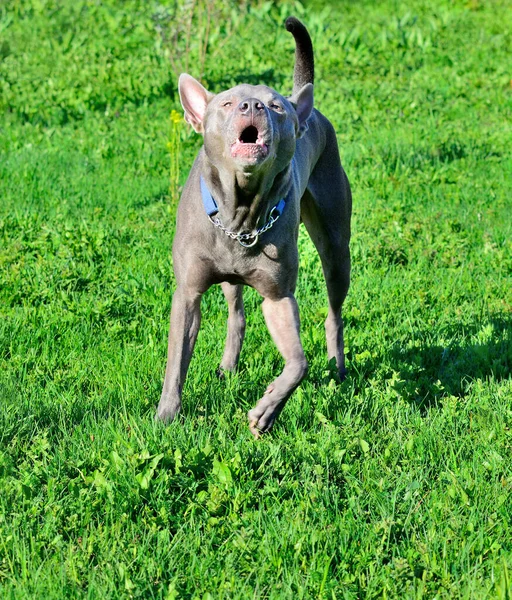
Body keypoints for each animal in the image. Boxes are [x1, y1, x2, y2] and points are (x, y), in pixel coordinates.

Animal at [158, 16, 352, 438]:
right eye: (228, 103)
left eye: (275, 106)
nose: (253, 104)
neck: (241, 214)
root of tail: (305, 105)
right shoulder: (187, 294)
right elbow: (176, 360)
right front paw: (166, 414)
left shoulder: (278, 297)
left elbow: (298, 363)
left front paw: (266, 410)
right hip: (231, 279)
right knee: (236, 312)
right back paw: (228, 366)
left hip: (336, 247)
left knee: (334, 312)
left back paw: (338, 368)